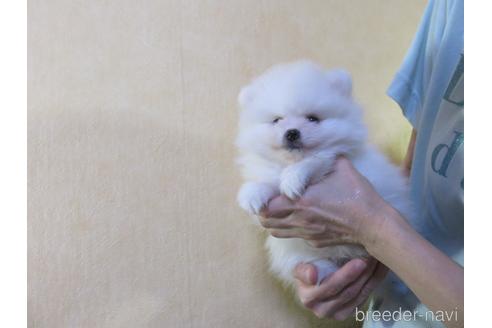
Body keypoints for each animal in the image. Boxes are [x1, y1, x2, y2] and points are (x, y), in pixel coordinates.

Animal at [234, 60, 416, 288]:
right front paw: (252, 194)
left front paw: (292, 179)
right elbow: (265, 182)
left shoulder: (332, 157)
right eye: (276, 120)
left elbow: (316, 160)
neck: (289, 162)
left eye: (313, 118)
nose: (292, 132)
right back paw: (323, 273)